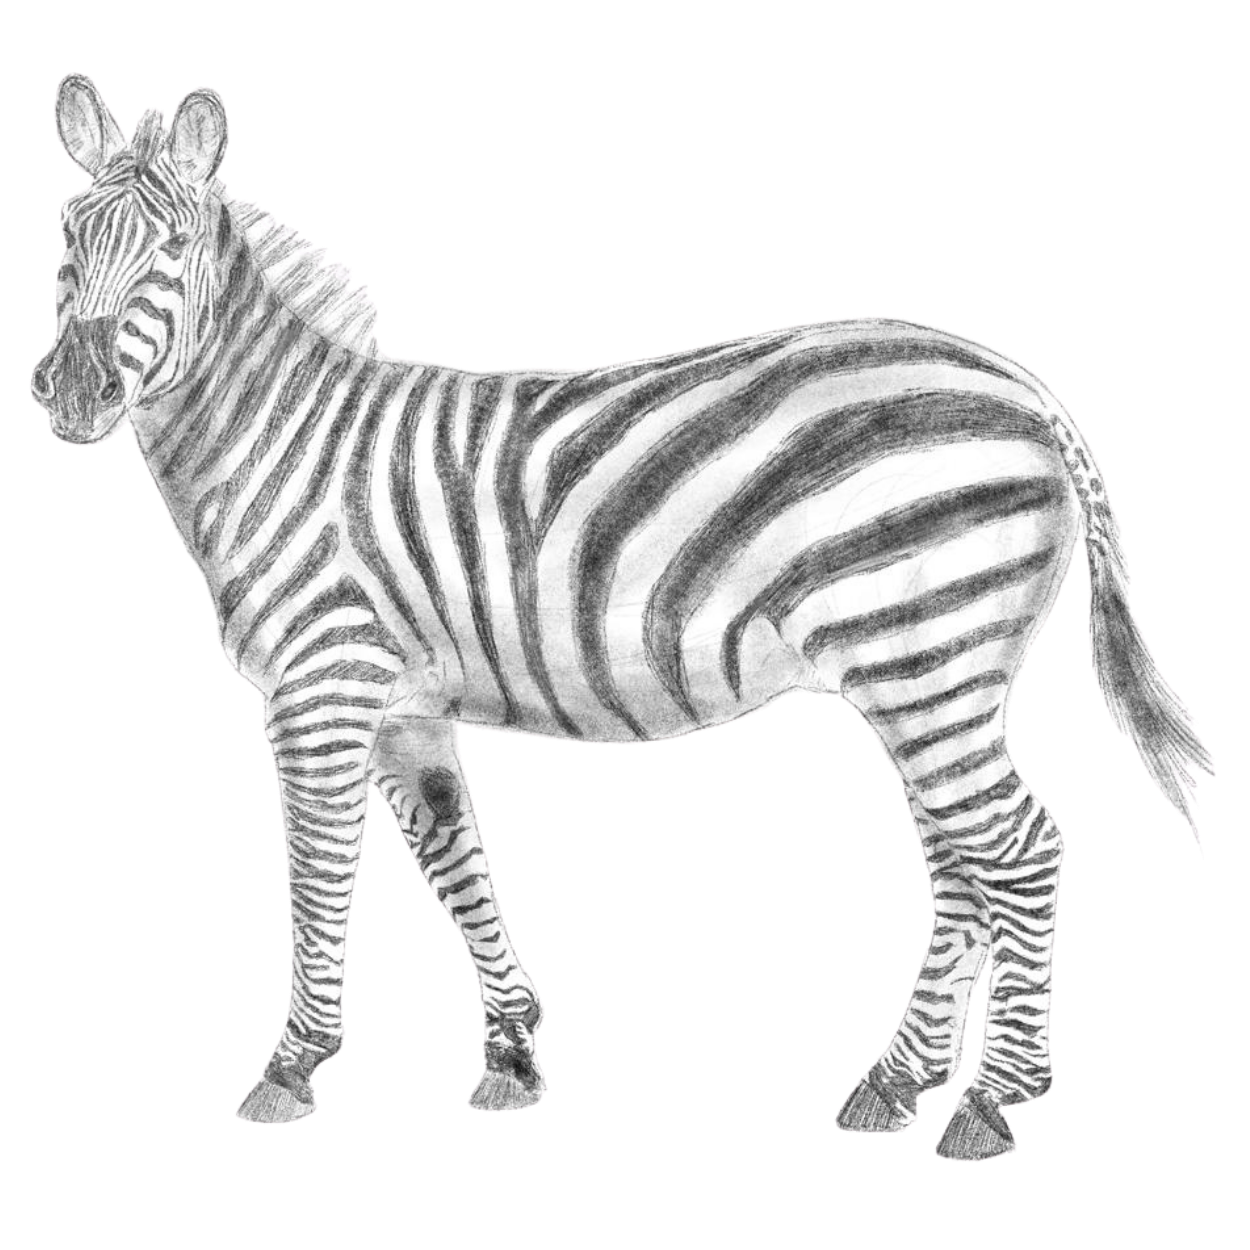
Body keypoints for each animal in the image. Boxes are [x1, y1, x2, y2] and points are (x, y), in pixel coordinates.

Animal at [32, 74, 1216, 1164]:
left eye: (171, 250)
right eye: (67, 241)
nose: (72, 393)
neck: (282, 444)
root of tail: (1021, 381)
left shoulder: (325, 678)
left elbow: (318, 872)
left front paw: (293, 1065)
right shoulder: (406, 703)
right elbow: (450, 853)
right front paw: (512, 1050)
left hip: (922, 652)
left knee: (1019, 846)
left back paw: (990, 1101)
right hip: (933, 670)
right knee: (964, 859)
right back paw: (897, 1080)